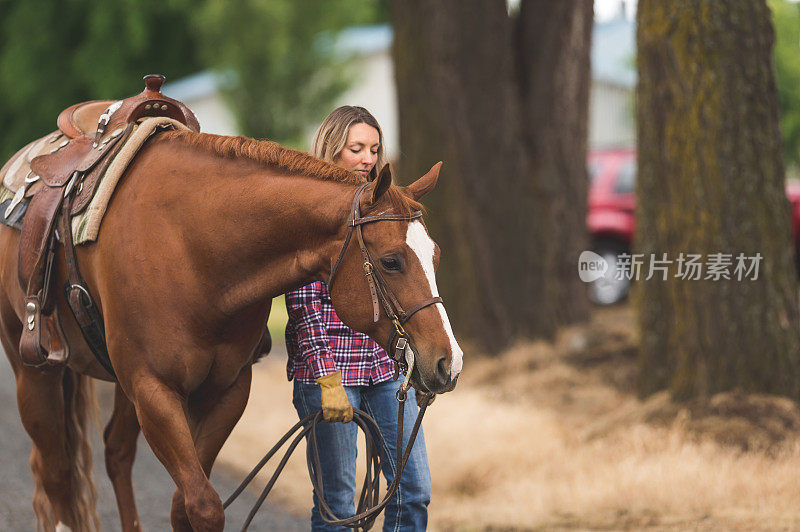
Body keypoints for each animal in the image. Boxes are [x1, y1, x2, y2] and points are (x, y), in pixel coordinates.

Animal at [0, 130, 462, 532]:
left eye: (436, 255)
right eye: (390, 261)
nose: (450, 361)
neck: (192, 247)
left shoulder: (226, 390)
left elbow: (183, 505)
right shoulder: (154, 390)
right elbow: (204, 506)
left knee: (115, 453)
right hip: (37, 374)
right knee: (56, 472)